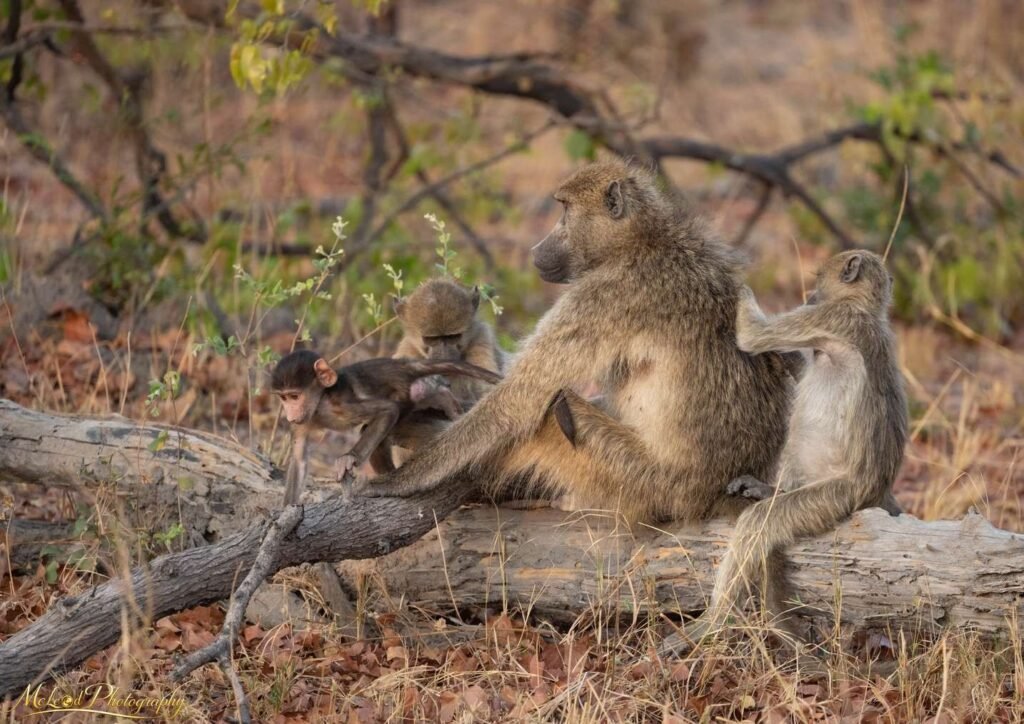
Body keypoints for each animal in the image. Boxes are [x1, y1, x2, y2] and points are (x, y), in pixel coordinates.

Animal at [271, 350, 502, 505]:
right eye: (283, 398)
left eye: (295, 396)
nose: (290, 415)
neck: (320, 403)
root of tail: (402, 365)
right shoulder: (303, 423)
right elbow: (299, 460)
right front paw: (287, 513)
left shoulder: (341, 405)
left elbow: (388, 410)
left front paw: (349, 458)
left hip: (403, 392)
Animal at [661, 250, 909, 655]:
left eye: (818, 280)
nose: (810, 296)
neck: (864, 309)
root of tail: (878, 491)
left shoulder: (830, 318)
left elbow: (753, 336)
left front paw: (738, 284)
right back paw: (767, 490)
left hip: (835, 496)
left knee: (759, 525)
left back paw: (712, 623)